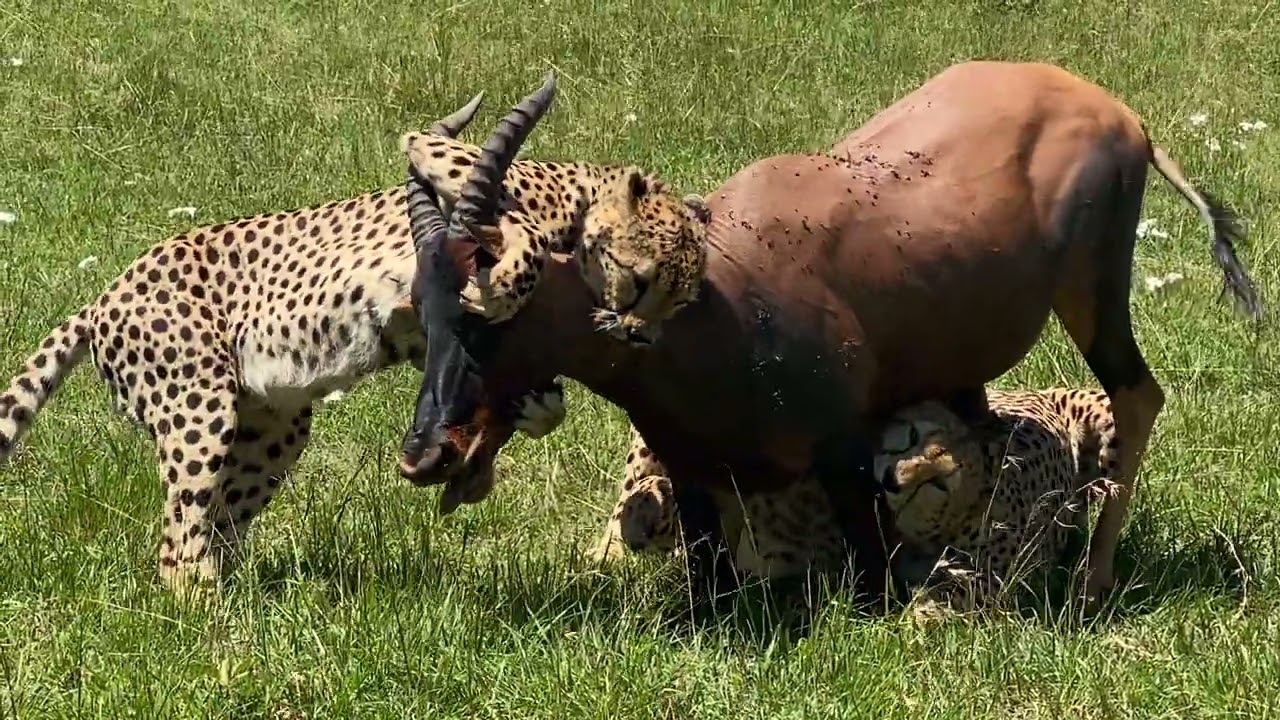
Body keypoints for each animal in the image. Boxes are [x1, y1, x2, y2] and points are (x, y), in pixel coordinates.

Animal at [0, 86, 702, 596]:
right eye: (643, 280)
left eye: (680, 299)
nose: (639, 332)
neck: (580, 203)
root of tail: (101, 299)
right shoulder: (447, 179)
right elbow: (506, 233)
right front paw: (502, 286)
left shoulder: (426, 337)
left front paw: (534, 407)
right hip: (198, 410)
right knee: (178, 544)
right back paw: (212, 627)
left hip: (272, 433)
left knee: (218, 529)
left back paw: (242, 605)